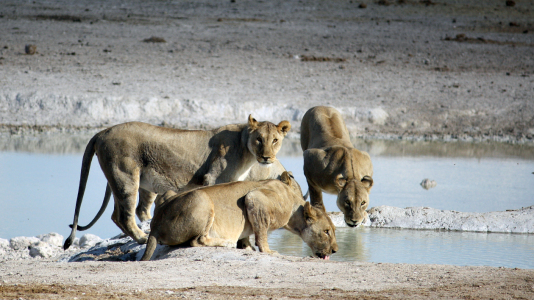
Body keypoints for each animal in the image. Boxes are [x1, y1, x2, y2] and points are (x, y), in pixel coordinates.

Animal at [63, 116, 294, 250]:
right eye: (259, 139)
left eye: (275, 140)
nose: (266, 157)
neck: (245, 149)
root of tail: (102, 131)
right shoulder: (213, 178)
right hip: (126, 177)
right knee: (124, 216)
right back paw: (142, 238)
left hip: (123, 181)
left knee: (116, 215)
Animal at [140, 171, 338, 260]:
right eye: (327, 231)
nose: (335, 250)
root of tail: (155, 225)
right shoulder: (255, 198)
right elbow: (261, 233)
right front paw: (268, 250)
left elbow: (249, 234)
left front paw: (246, 246)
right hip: (201, 198)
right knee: (198, 240)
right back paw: (226, 242)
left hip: (168, 194)